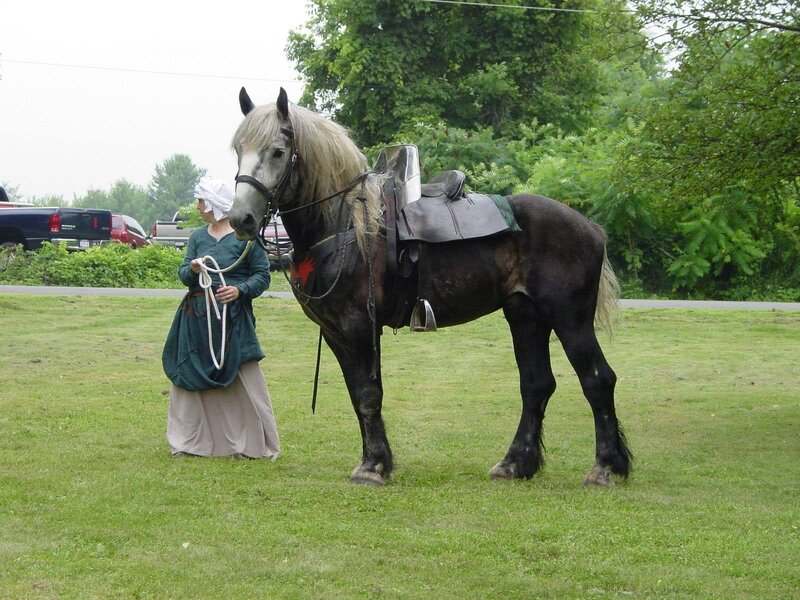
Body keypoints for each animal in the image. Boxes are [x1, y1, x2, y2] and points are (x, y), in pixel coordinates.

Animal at [229, 88, 632, 487]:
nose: (240, 218)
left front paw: (372, 467)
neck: (347, 222)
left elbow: (368, 395)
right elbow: (357, 396)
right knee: (536, 385)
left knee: (598, 380)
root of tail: (590, 228)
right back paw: (516, 464)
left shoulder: (359, 327)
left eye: (278, 151)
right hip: (526, 317)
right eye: (237, 149)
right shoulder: (335, 333)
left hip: (569, 319)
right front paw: (377, 461)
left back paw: (604, 467)